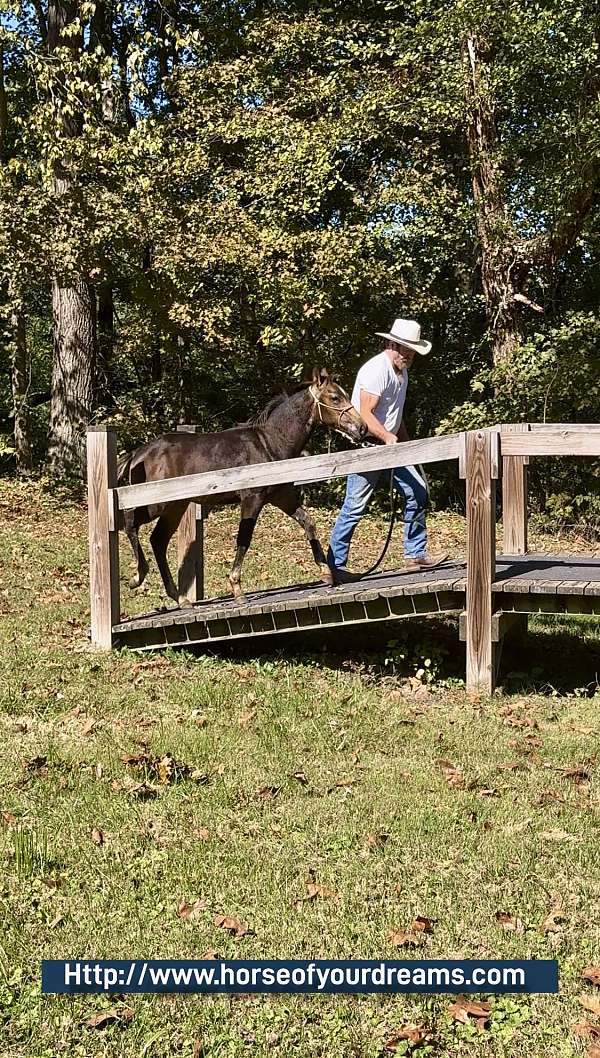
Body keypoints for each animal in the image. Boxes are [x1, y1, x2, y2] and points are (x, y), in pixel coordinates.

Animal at [114, 370, 364, 605]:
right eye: (334, 397)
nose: (361, 428)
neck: (270, 444)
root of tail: (139, 454)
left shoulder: (282, 497)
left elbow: (308, 522)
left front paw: (326, 573)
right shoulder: (252, 499)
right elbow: (244, 539)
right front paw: (237, 589)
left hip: (176, 507)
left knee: (157, 540)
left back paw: (180, 598)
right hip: (158, 503)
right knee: (131, 523)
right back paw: (138, 576)